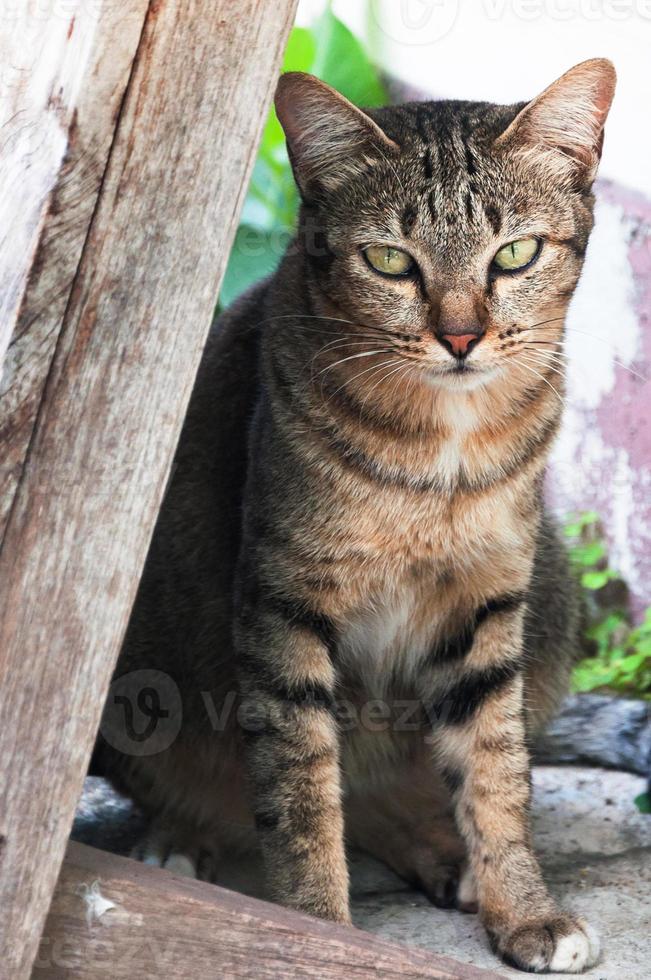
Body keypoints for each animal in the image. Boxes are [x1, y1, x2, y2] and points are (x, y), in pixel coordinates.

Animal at [97, 59, 616, 972]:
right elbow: (301, 791)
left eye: (514, 254)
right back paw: (180, 840)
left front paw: (523, 908)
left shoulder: (487, 603)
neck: (442, 447)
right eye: (389, 261)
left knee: (393, 791)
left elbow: (495, 769)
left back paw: (445, 855)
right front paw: (318, 933)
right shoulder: (283, 604)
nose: (460, 337)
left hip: (552, 598)